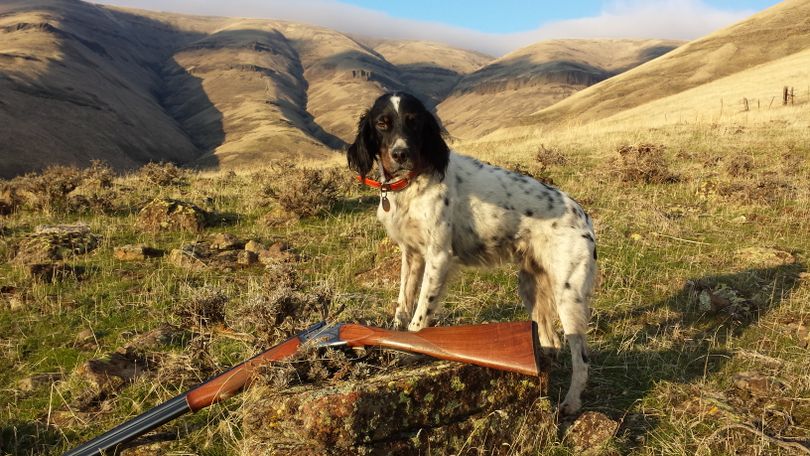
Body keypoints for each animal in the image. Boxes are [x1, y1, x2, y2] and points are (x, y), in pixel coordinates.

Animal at [346, 92, 592, 414]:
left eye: (414, 122)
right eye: (382, 123)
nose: (400, 153)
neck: (412, 184)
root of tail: (583, 216)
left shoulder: (438, 256)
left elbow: (419, 317)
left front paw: (411, 351)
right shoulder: (412, 255)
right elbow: (403, 305)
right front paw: (392, 339)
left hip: (568, 294)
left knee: (581, 357)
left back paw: (571, 402)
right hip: (531, 286)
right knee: (551, 340)